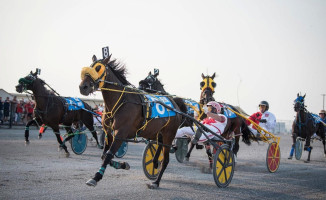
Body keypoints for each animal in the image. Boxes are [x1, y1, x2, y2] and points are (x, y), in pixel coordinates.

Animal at [78, 54, 181, 188]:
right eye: (90, 67)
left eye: (98, 68)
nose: (83, 87)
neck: (120, 101)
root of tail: (175, 105)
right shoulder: (109, 132)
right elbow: (104, 155)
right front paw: (123, 164)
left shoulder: (120, 133)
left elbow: (108, 154)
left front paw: (96, 177)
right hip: (157, 133)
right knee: (159, 147)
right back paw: (154, 162)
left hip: (169, 134)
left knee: (166, 160)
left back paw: (156, 182)